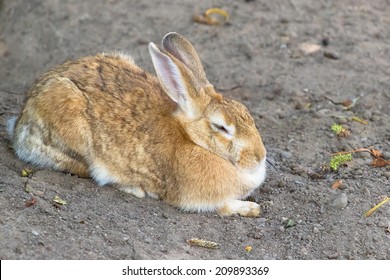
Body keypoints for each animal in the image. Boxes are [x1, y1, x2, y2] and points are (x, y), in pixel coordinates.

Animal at [7, 32, 266, 217]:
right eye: (221, 128)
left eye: (247, 114)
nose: (260, 156)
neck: (193, 140)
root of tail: (20, 122)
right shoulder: (196, 199)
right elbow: (222, 206)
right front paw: (250, 209)